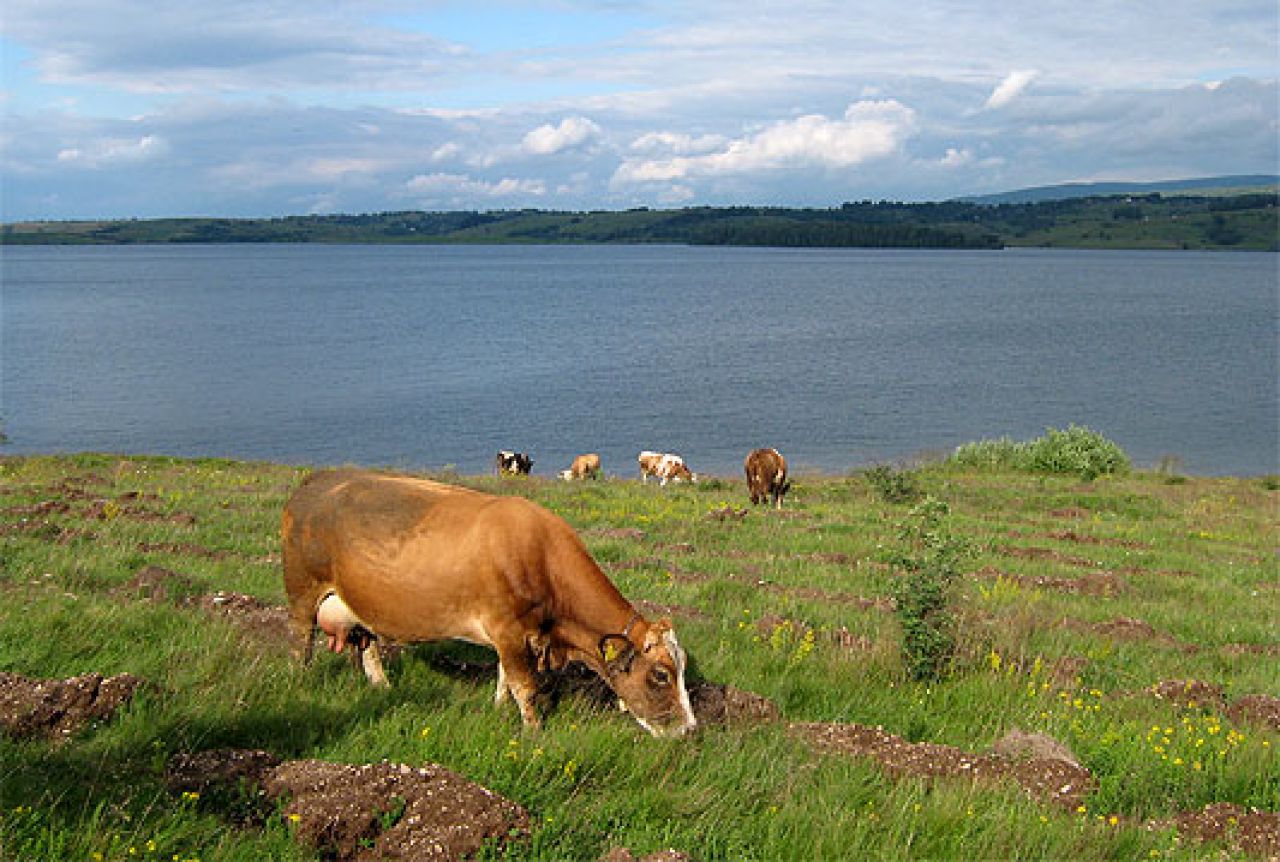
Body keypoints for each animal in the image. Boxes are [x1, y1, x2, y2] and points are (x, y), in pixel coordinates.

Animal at [282, 466, 701, 737]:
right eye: (661, 675)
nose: (690, 729)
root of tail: (316, 479)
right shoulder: (508, 628)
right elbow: (524, 684)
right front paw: (534, 733)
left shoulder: (514, 634)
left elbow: (505, 677)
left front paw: (500, 711)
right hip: (302, 591)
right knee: (301, 644)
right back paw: (301, 685)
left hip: (358, 602)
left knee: (366, 644)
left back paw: (382, 688)